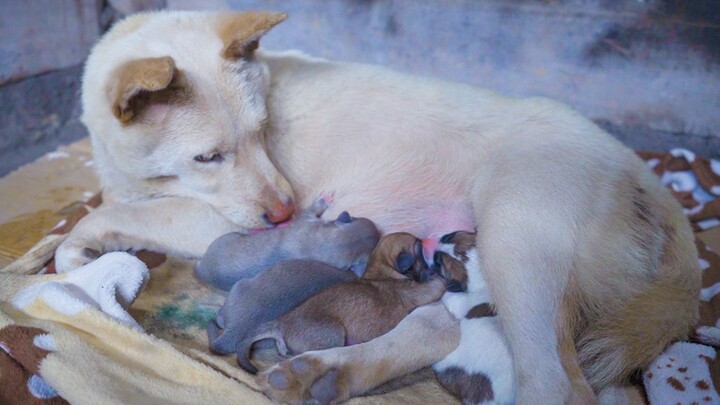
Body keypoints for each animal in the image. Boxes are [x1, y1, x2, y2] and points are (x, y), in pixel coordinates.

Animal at [194, 197, 380, 288]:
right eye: (356, 218)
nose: (377, 229)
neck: (323, 245)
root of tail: (200, 268)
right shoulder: (305, 221)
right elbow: (311, 209)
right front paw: (322, 201)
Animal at [236, 232, 444, 374]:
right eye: (420, 252)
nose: (432, 247)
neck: (382, 271)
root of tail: (281, 323)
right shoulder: (425, 289)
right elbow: (438, 283)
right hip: (334, 334)